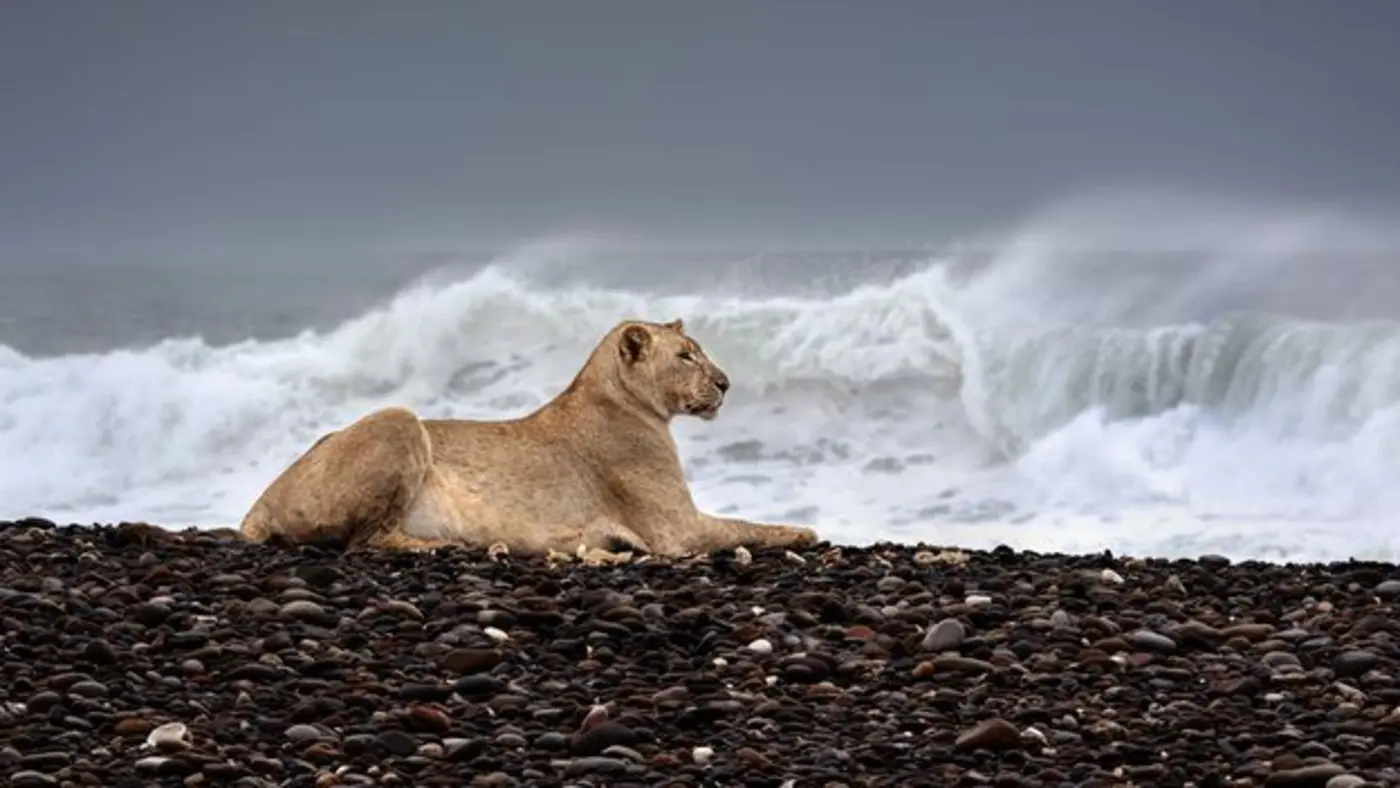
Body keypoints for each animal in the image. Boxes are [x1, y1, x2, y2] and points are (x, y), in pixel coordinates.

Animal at [238, 318, 819, 558]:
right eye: (685, 356)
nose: (726, 383)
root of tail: (264, 498)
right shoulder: (678, 530)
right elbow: (748, 525)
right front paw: (804, 532)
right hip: (400, 418)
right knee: (366, 541)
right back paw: (447, 545)